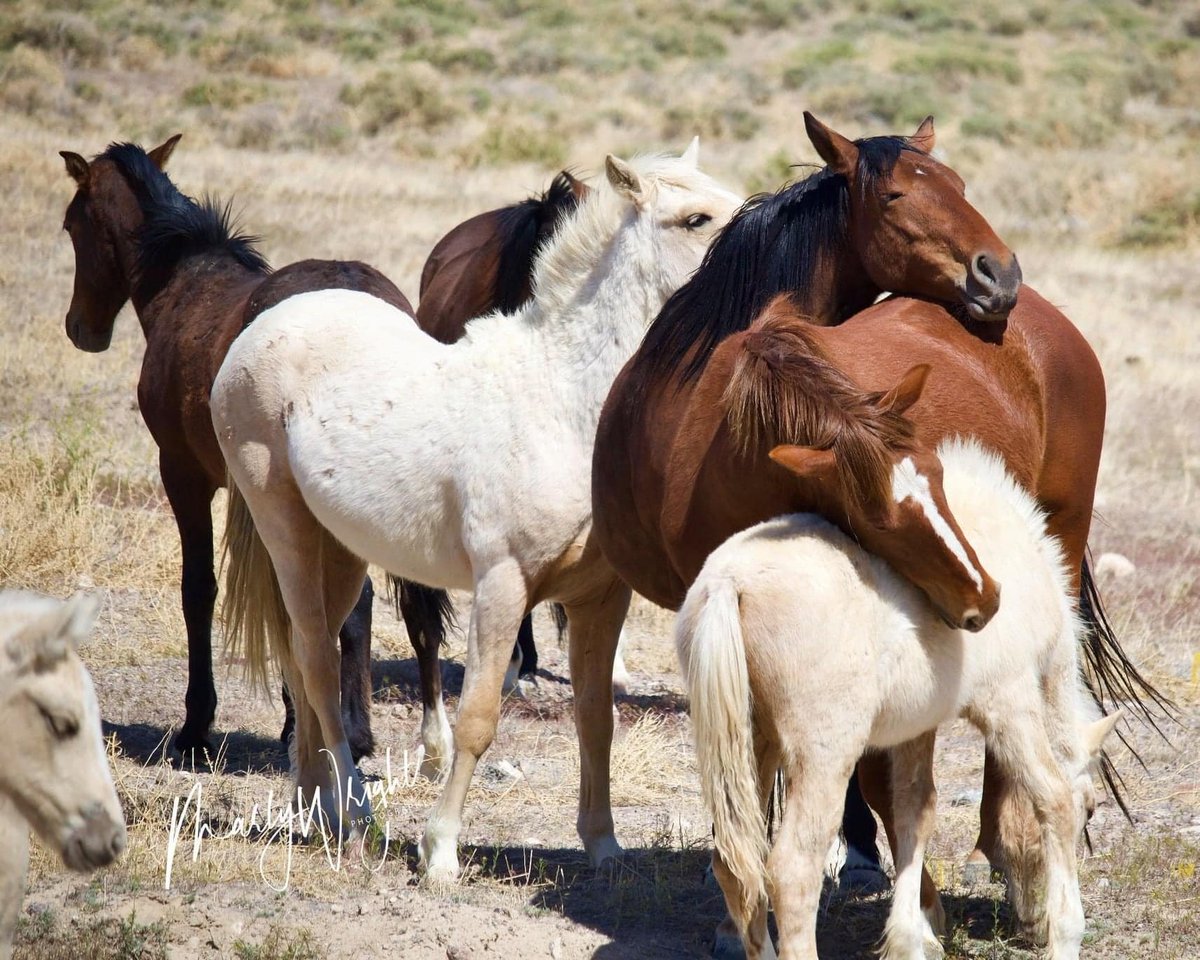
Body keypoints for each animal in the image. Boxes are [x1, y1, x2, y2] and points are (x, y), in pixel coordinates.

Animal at [58, 138, 415, 763]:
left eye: (72, 224)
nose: (82, 328)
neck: (184, 286)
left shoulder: (183, 474)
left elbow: (200, 590)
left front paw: (197, 727)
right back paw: (354, 731)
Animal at [213, 140, 739, 878]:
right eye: (695, 219)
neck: (562, 400)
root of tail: (260, 330)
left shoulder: (601, 597)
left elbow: (597, 716)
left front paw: (604, 844)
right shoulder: (502, 586)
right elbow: (479, 718)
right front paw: (438, 852)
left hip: (337, 548)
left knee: (300, 650)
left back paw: (316, 807)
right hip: (281, 520)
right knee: (316, 658)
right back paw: (357, 816)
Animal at [681, 441, 1118, 960]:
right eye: (1092, 809)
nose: (1031, 924)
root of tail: (730, 582)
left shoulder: (918, 725)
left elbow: (914, 810)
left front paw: (912, 936)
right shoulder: (1009, 700)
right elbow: (1052, 796)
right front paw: (1067, 932)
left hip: (751, 740)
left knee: (734, 862)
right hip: (824, 753)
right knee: (792, 869)